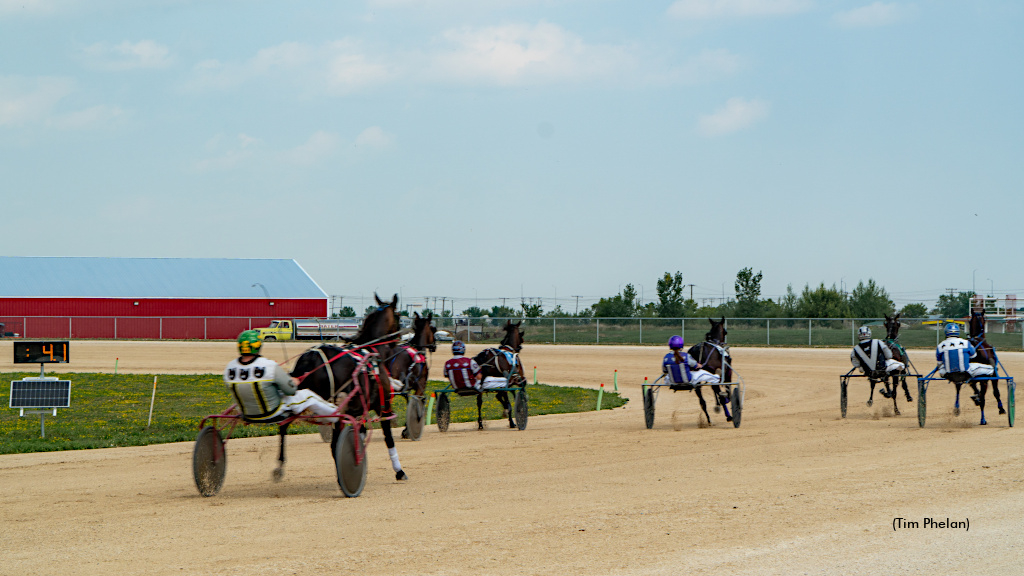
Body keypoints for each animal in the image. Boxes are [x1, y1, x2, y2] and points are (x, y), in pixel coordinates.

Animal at [286, 293, 409, 477]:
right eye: (399, 316)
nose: (399, 339)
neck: (371, 351)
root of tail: (312, 357)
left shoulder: (358, 410)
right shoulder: (383, 404)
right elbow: (388, 437)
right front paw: (399, 470)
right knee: (333, 444)